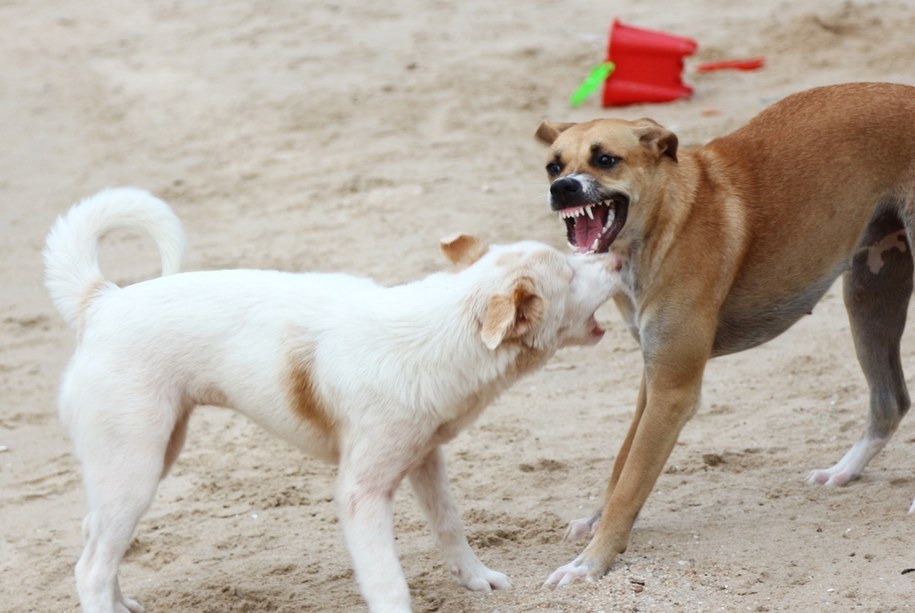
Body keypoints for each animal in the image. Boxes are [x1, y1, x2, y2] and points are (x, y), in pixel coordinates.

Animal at [41, 186, 616, 612]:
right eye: (569, 273)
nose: (614, 259)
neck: (442, 329)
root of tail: (102, 301)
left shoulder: (424, 458)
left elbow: (450, 526)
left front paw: (476, 578)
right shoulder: (362, 494)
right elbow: (387, 582)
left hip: (149, 457)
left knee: (96, 538)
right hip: (136, 468)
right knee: (90, 567)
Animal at [532, 82, 915, 584]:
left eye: (606, 160)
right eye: (553, 165)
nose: (562, 189)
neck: (666, 223)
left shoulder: (673, 393)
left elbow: (630, 481)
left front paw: (590, 562)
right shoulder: (654, 379)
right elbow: (622, 465)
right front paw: (596, 526)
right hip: (869, 296)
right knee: (891, 402)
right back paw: (843, 471)